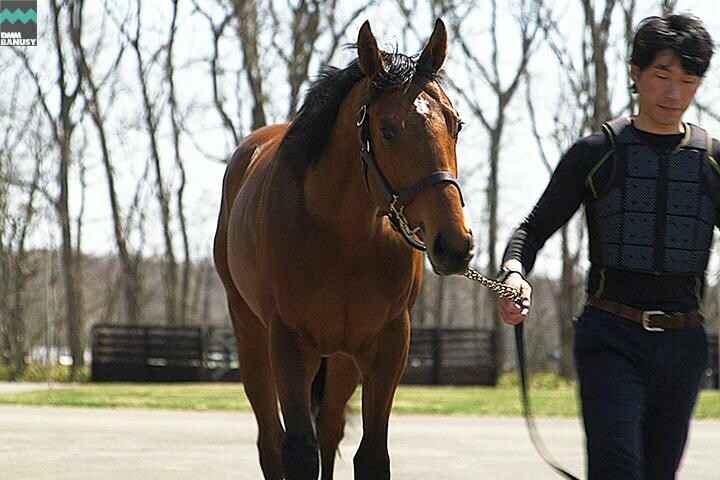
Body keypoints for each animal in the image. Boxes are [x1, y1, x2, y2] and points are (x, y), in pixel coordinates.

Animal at [212, 18, 472, 480]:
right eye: (387, 130)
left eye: (455, 124)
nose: (454, 244)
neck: (343, 238)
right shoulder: (289, 343)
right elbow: (299, 450)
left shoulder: (388, 343)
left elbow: (371, 455)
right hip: (251, 335)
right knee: (270, 441)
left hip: (342, 358)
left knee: (330, 428)